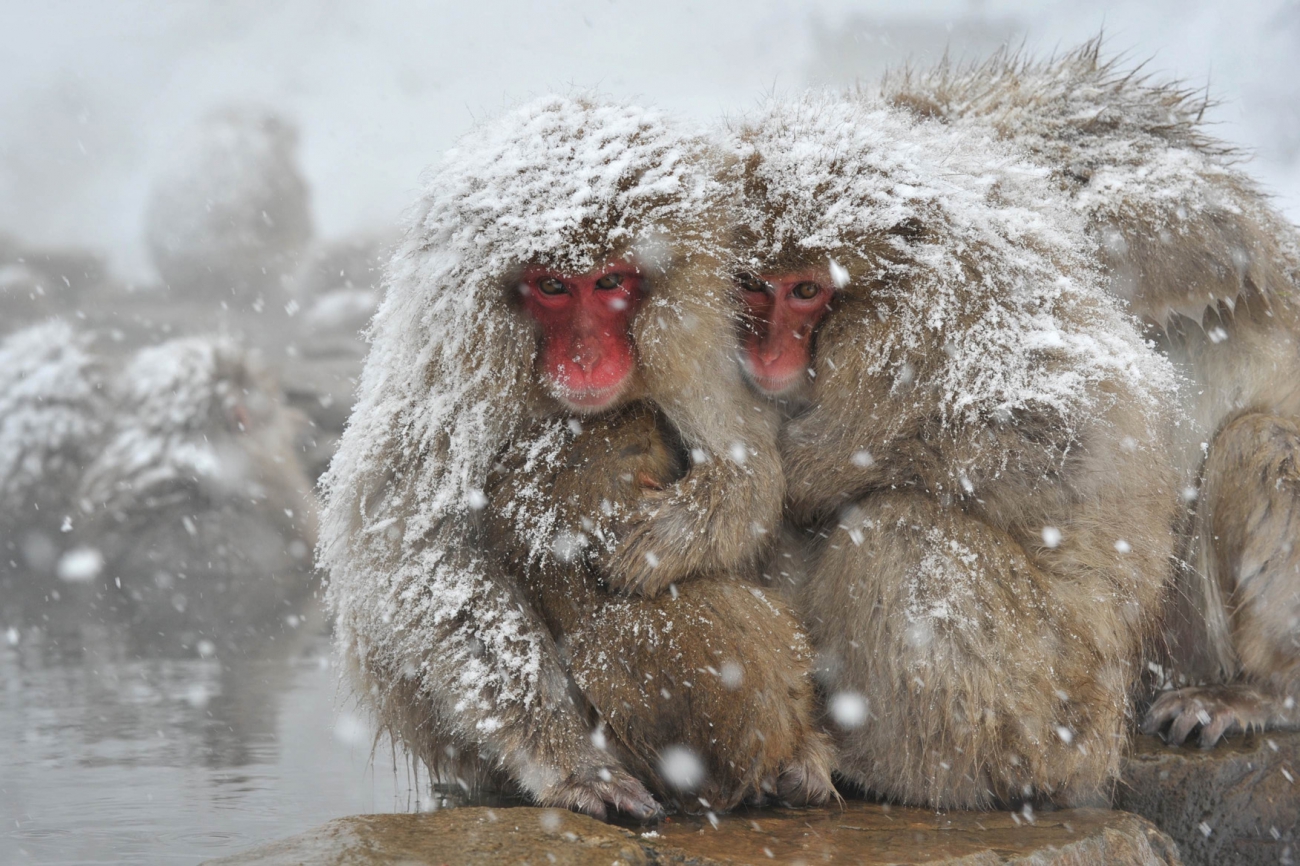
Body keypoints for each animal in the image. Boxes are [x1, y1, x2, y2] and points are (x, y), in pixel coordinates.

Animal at [319, 97, 785, 821]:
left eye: (612, 281)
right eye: (554, 287)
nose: (587, 357)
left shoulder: (697, 342)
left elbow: (749, 471)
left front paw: (664, 539)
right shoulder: (456, 358)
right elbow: (419, 548)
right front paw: (570, 764)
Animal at [728, 94, 1185, 811]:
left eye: (805, 291)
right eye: (753, 283)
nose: (769, 353)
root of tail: (1098, 748)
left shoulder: (915, 349)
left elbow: (1033, 435)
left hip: (1045, 699)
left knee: (899, 533)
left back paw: (888, 769)